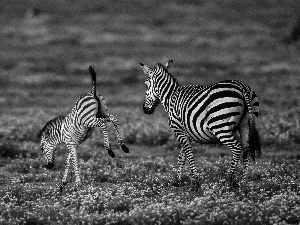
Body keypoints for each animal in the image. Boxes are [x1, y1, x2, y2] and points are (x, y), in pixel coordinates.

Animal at [140, 59, 260, 187]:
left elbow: (188, 153)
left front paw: (195, 181)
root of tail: (242, 86)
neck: (170, 97)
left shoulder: (178, 129)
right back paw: (244, 183)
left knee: (237, 148)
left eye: (146, 85)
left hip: (220, 126)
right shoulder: (186, 132)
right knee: (247, 150)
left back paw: (229, 180)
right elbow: (182, 157)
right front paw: (179, 181)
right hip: (245, 124)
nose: (145, 109)